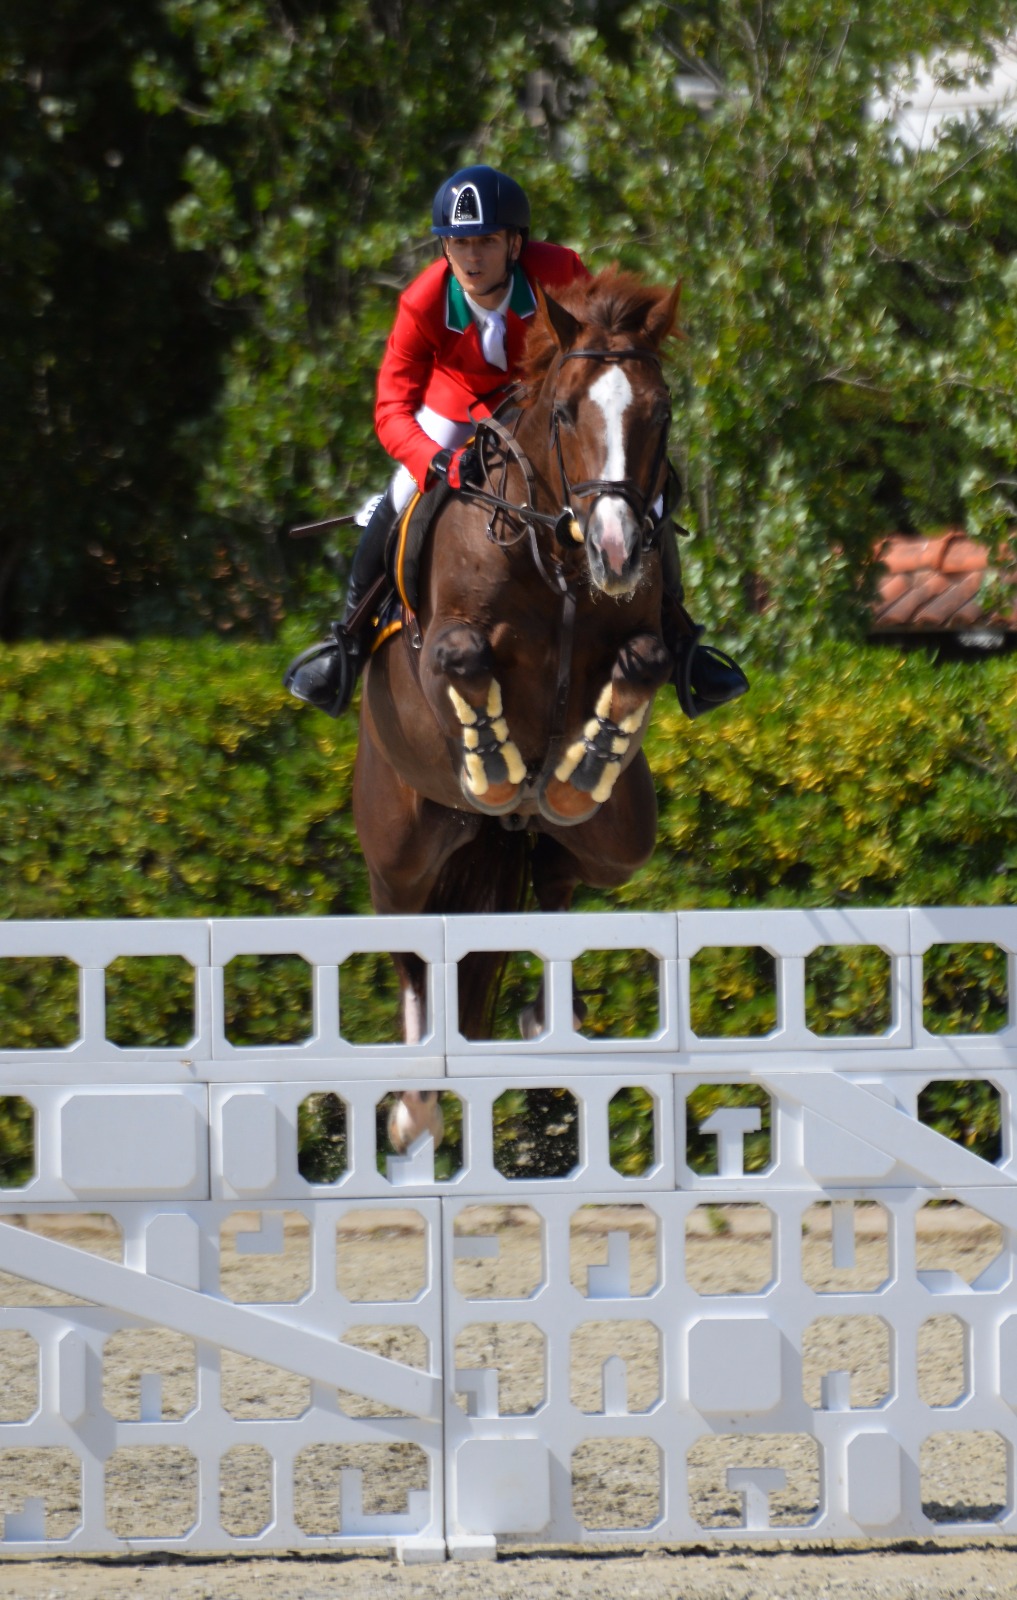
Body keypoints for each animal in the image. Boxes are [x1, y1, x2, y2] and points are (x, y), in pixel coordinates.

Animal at [352, 268, 682, 1151]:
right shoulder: (446, 644)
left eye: (659, 412)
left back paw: (546, 1014)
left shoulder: (637, 638)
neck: (557, 551)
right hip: (400, 846)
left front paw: (574, 767)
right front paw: (494, 764)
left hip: (615, 840)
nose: (617, 551)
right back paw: (413, 1104)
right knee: (409, 944)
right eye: (565, 412)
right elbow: (463, 658)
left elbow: (642, 662)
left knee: (557, 879)